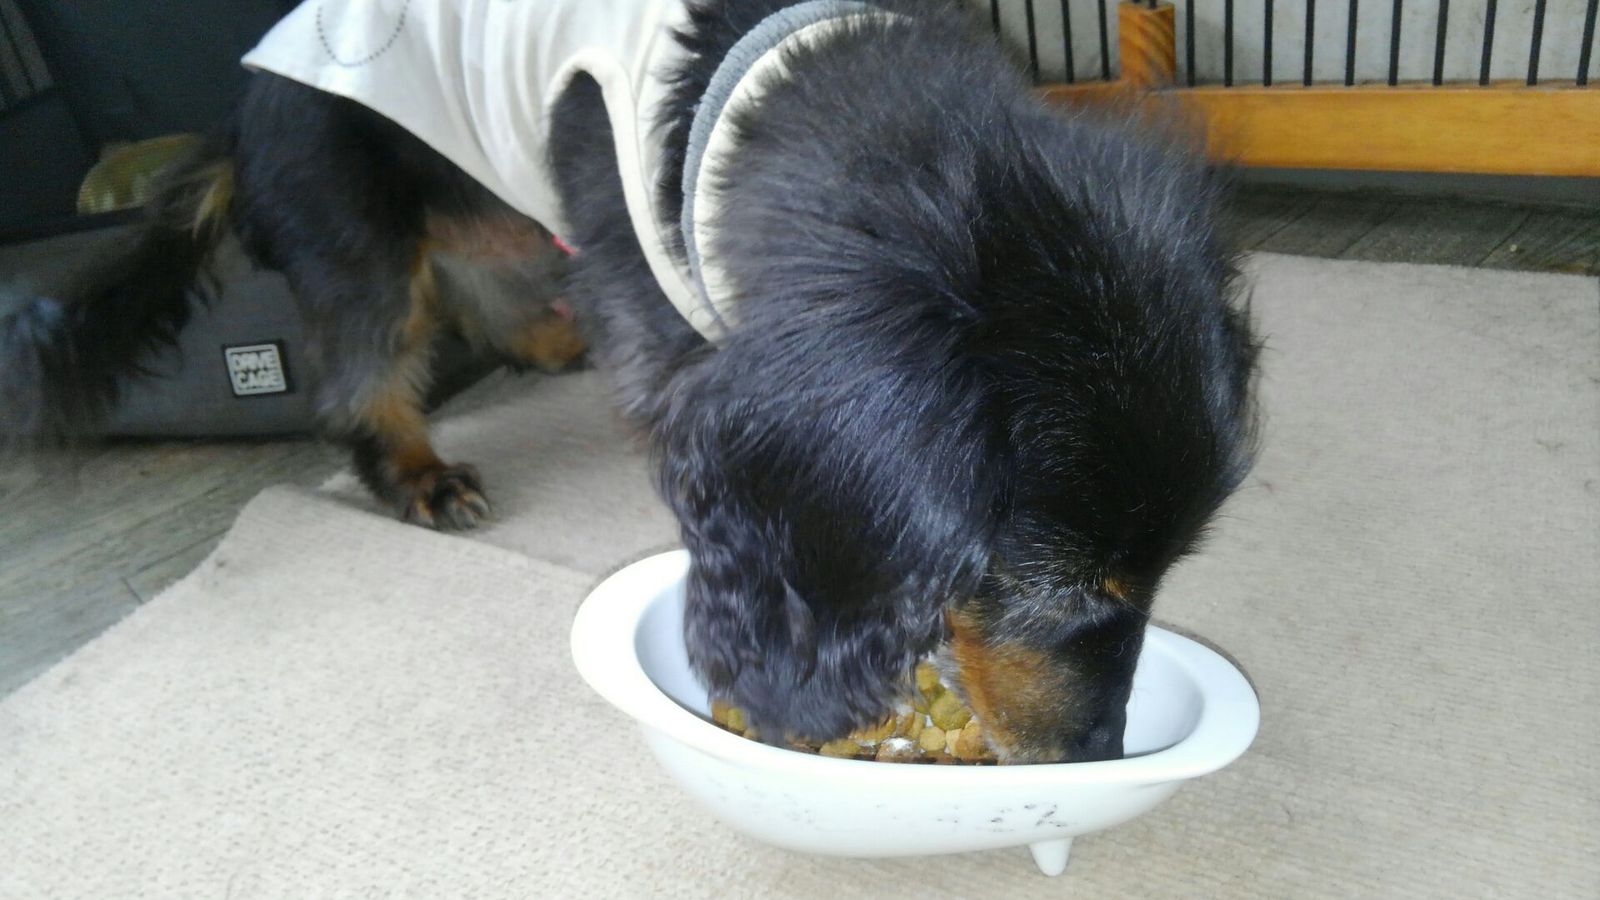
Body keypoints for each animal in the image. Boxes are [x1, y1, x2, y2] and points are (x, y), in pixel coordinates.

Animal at [0, 0, 1258, 763]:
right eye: (1067, 590)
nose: (1102, 753)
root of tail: (239, 101)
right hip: (353, 224)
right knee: (359, 368)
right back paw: (414, 470)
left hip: (493, 206)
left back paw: (544, 345)